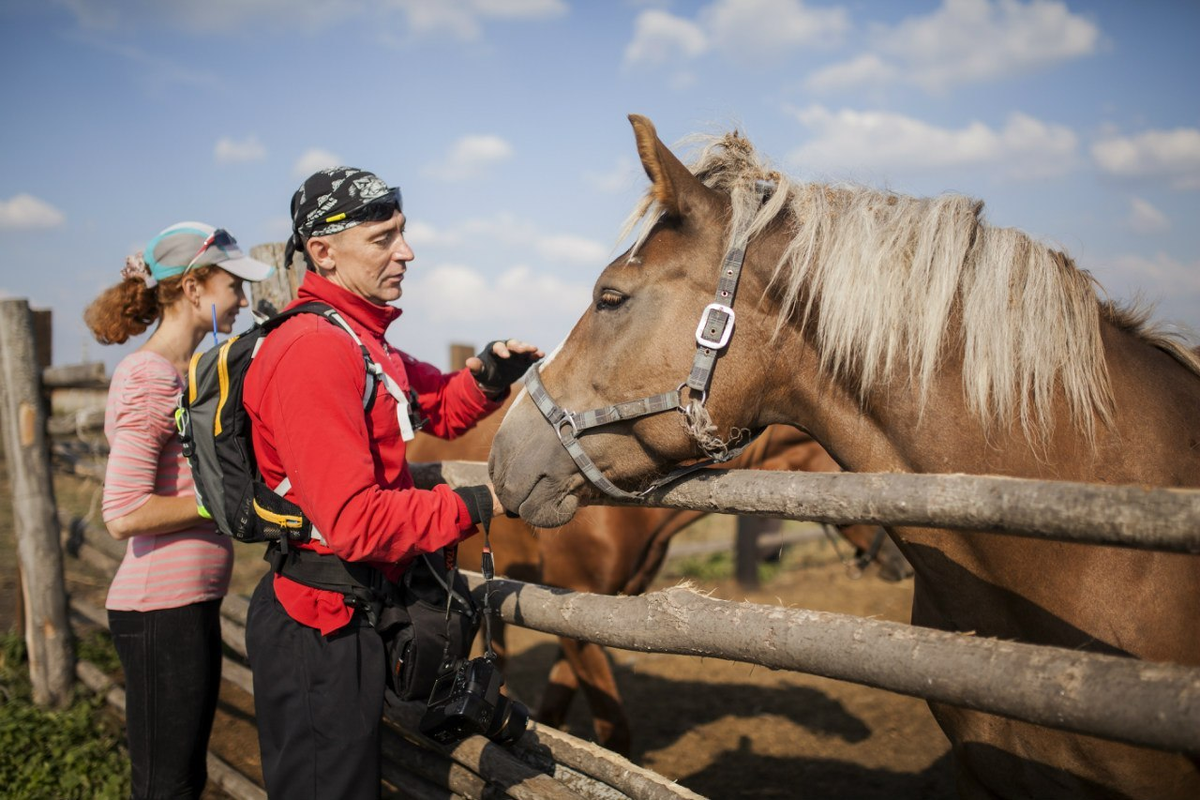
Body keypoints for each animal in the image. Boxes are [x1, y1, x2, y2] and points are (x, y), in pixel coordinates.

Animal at [403, 400, 902, 758]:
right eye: (858, 474)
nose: (903, 562)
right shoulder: (572, 606)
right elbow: (615, 730)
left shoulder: (585, 612)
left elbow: (557, 706)